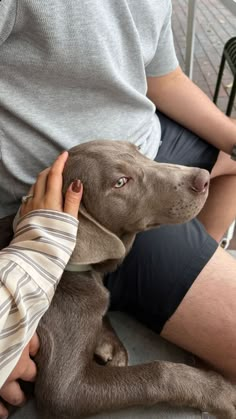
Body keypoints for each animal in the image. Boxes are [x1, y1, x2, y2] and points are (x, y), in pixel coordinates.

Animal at [31, 141, 236, 419]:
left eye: (137, 149)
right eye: (120, 182)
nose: (203, 179)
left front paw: (109, 345)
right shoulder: (63, 392)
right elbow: (158, 374)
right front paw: (219, 392)